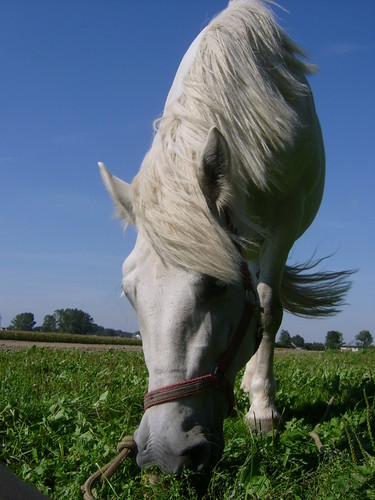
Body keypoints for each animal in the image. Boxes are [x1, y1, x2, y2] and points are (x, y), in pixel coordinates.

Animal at [99, 0, 352, 474]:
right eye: (129, 293)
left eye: (216, 286)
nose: (162, 453)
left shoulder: (284, 222)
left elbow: (268, 308)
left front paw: (263, 410)